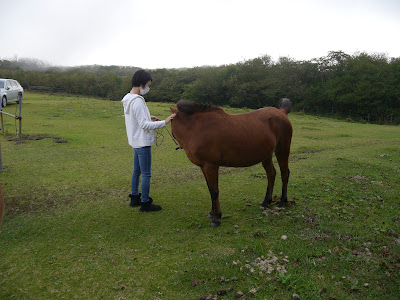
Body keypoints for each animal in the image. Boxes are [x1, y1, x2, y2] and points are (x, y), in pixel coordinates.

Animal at [170, 98, 292, 227]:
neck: (196, 128)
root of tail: (282, 112)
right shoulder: (203, 167)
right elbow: (210, 189)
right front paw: (212, 213)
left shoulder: (211, 166)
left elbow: (214, 191)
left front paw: (217, 218)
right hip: (266, 156)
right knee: (271, 174)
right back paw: (266, 202)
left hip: (282, 151)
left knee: (284, 173)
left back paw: (282, 202)